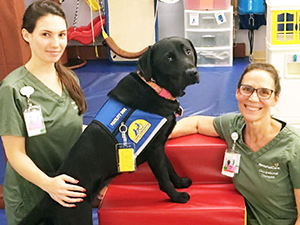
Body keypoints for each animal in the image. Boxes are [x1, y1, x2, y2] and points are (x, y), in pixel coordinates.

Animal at [20, 37, 199, 225]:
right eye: (168, 58)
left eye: (187, 51)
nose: (192, 72)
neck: (155, 87)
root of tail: (47, 200)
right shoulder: (155, 150)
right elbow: (164, 176)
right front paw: (176, 196)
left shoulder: (158, 145)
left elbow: (169, 167)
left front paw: (180, 182)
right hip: (79, 217)